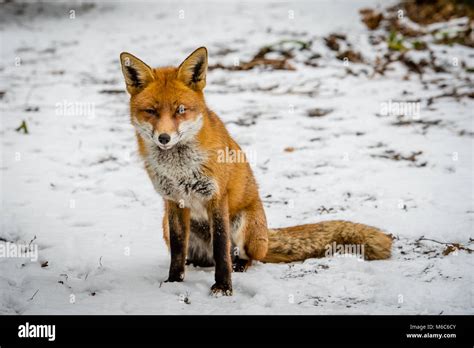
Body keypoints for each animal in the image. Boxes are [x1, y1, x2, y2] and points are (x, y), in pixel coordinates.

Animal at [119, 47, 392, 296]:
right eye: (151, 111)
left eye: (181, 110)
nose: (164, 138)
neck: (179, 169)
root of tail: (266, 237)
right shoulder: (174, 202)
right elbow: (177, 251)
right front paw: (174, 281)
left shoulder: (216, 197)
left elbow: (222, 249)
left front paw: (223, 287)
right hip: (166, 225)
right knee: (197, 257)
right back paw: (193, 264)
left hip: (244, 225)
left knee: (245, 257)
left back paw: (240, 265)